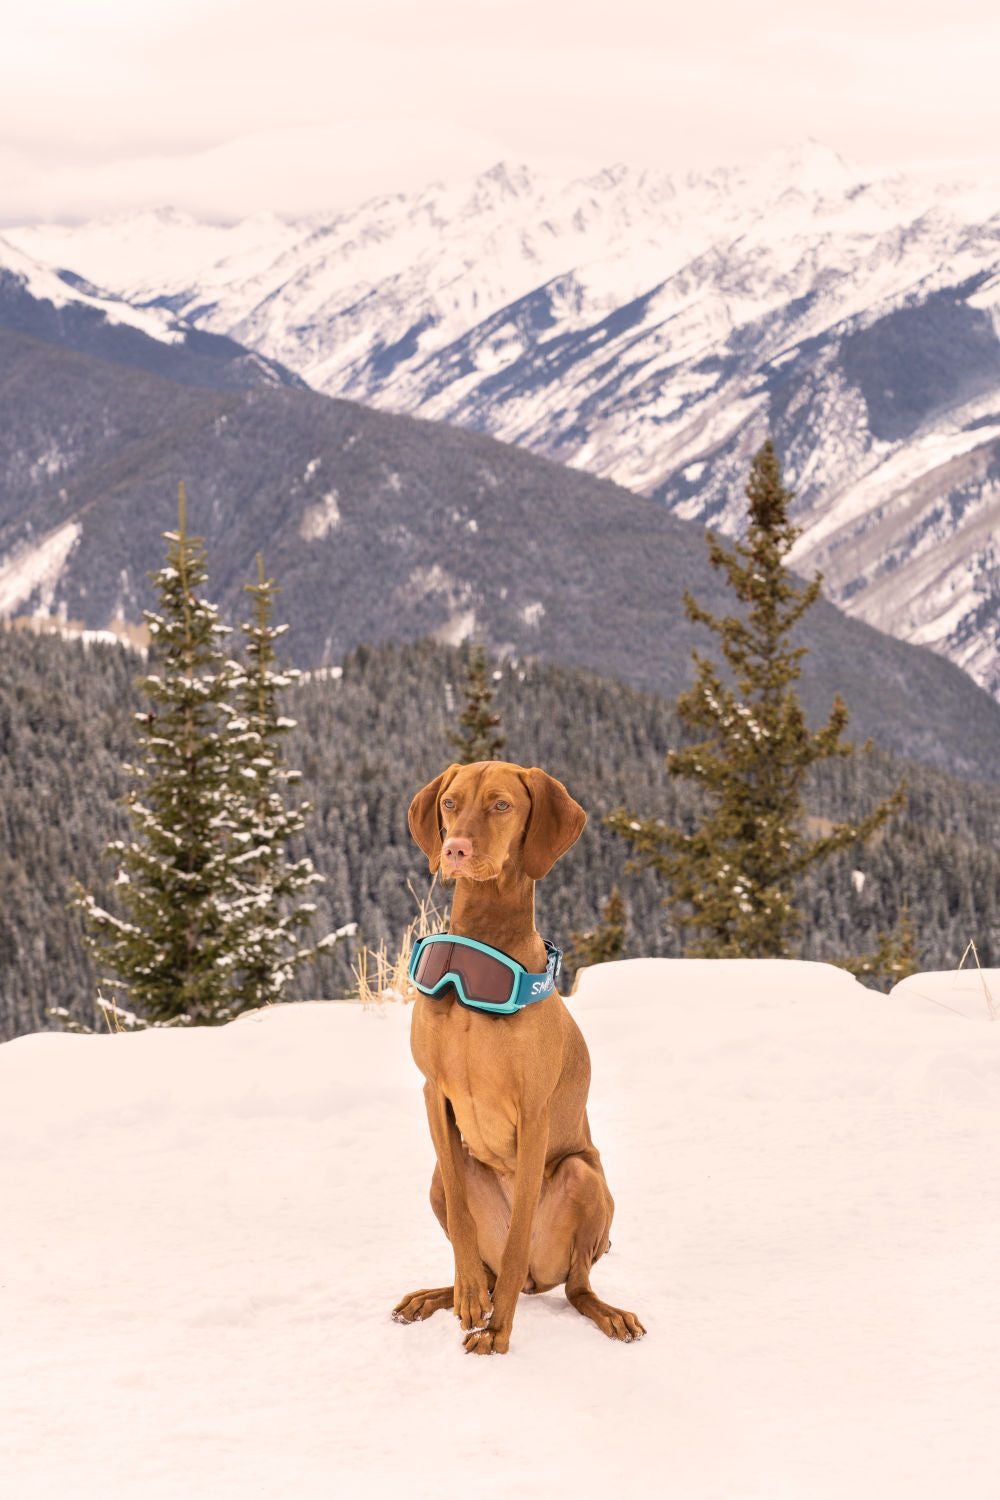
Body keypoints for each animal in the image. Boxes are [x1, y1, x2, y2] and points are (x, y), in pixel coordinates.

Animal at [389, 762, 641, 1362]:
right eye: (451, 803)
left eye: (501, 805)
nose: (454, 850)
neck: (478, 953)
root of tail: (533, 1281)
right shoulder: (434, 1092)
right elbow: (463, 1222)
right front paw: (467, 1296)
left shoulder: (533, 1112)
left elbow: (521, 1225)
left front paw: (498, 1330)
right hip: (438, 1175)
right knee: (485, 1260)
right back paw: (441, 1293)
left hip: (581, 1178)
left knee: (573, 1285)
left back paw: (604, 1311)